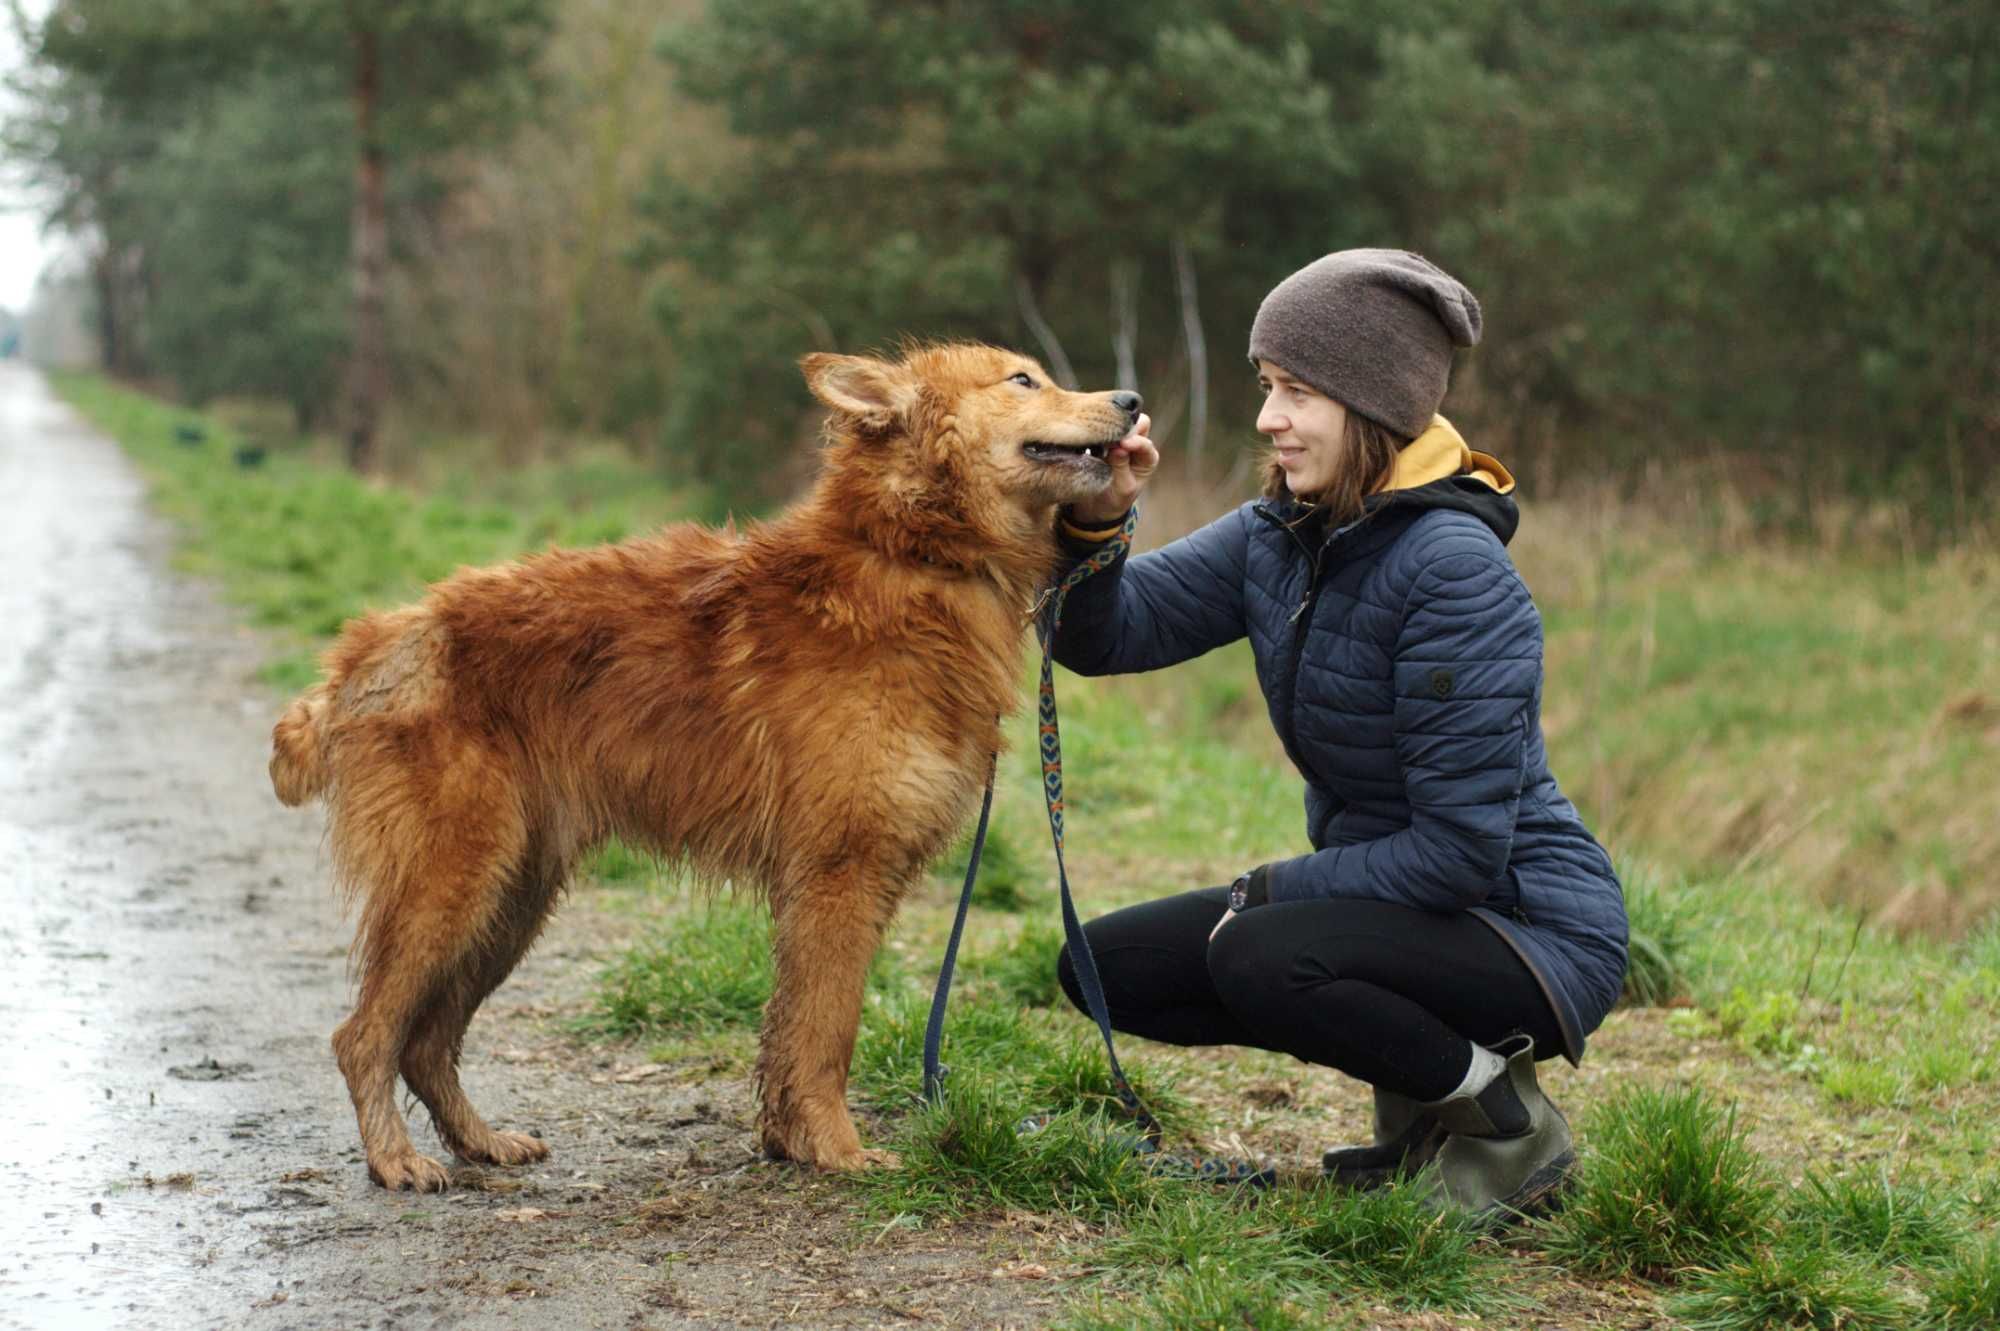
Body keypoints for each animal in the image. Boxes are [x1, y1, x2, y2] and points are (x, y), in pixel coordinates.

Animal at [270, 337, 1144, 1183]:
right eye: (1023, 380)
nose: (1131, 401)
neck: (915, 555)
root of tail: (375, 648)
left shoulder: (834, 886)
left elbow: (790, 1029)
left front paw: (790, 1141)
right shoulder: (839, 875)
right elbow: (826, 1031)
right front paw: (838, 1149)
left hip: (509, 900)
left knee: (425, 1040)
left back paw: (481, 1142)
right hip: (451, 888)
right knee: (365, 1035)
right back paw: (394, 1159)